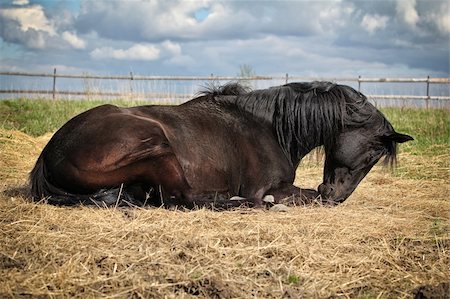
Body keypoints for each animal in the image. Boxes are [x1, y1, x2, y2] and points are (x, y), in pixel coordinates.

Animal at [29, 81, 414, 210]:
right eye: (372, 153)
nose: (338, 196)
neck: (269, 126)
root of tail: (50, 155)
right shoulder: (267, 186)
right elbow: (300, 196)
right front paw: (276, 202)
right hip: (157, 146)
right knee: (184, 200)